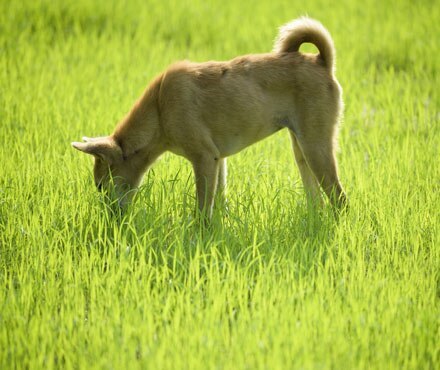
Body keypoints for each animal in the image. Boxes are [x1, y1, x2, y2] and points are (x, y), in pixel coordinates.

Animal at [72, 17, 348, 218]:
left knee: (340, 200)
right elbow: (219, 202)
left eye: (100, 185)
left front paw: (198, 235)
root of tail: (322, 61)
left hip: (316, 148)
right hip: (301, 150)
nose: (108, 218)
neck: (160, 111)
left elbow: (203, 208)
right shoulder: (219, 160)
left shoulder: (204, 157)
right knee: (318, 201)